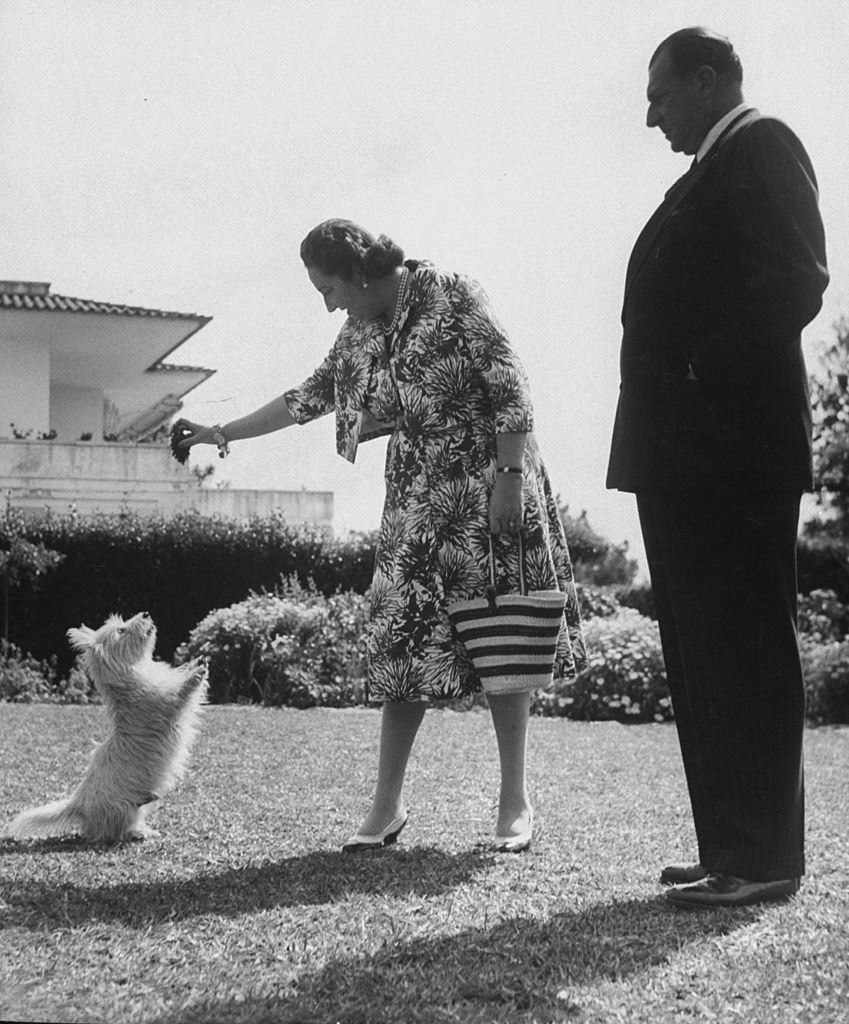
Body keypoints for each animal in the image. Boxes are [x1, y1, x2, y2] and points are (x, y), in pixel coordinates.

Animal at [8, 610, 208, 843]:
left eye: (122, 624)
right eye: (121, 630)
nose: (146, 613)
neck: (132, 673)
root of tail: (78, 803)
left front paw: (196, 660)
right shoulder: (167, 705)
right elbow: (183, 692)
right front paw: (197, 673)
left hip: (137, 808)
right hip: (121, 808)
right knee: (113, 831)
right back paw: (137, 834)